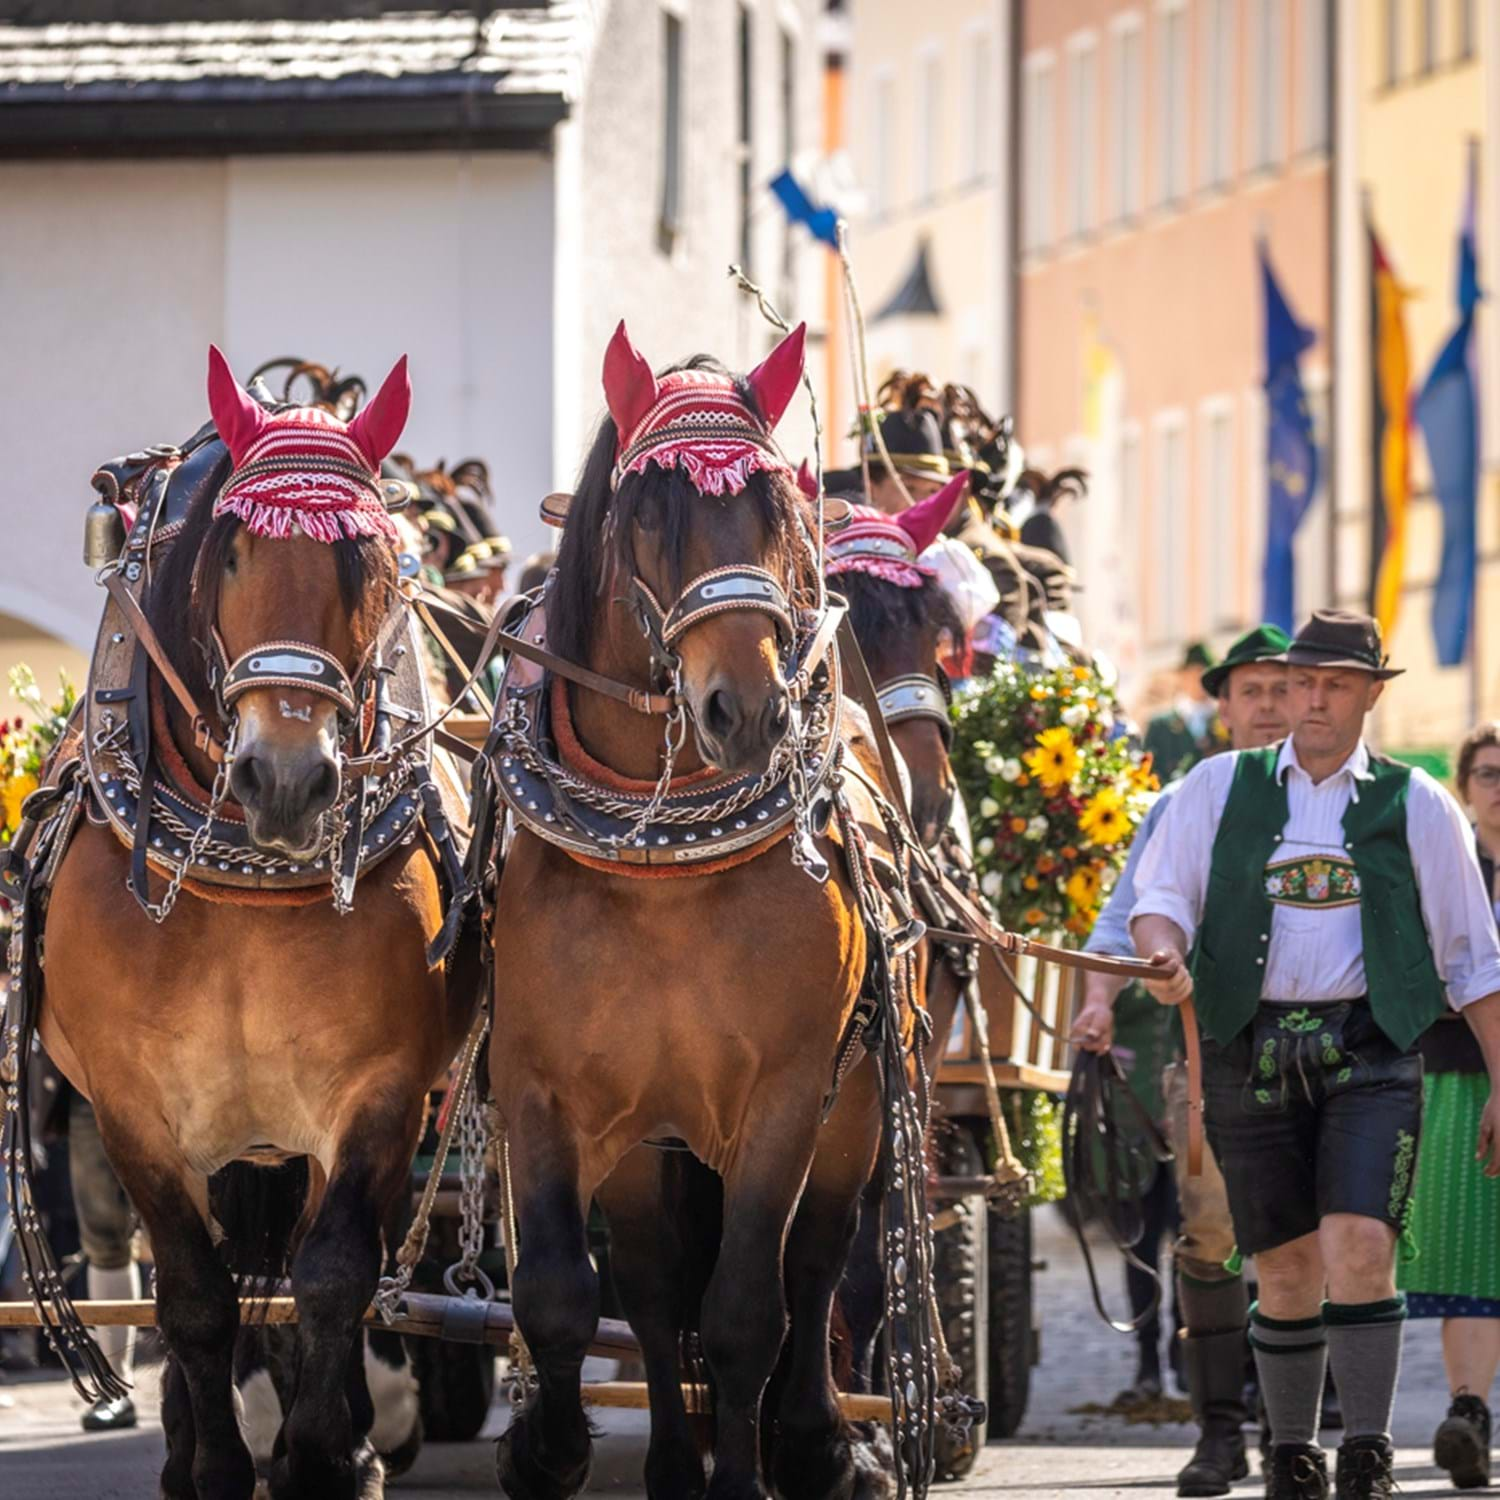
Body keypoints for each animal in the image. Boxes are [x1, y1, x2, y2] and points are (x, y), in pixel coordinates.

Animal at [35, 354, 477, 1500]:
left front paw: (330, 1455)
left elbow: (330, 1277)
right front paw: (218, 1465)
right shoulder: (132, 1108)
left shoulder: (379, 1093)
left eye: (370, 558)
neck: (246, 891)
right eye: (228, 548)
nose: (285, 779)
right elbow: (193, 1293)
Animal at [486, 328, 894, 1500]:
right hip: (644, 1139)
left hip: (854, 1110)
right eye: (647, 513)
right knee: (657, 1287)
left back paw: (817, 1442)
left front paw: (754, 1468)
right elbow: (563, 1292)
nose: (744, 709)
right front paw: (548, 1445)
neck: (661, 874)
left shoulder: (788, 1095)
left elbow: (751, 1308)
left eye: (776, 507)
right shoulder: (542, 1090)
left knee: (819, 1263)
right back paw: (674, 1458)